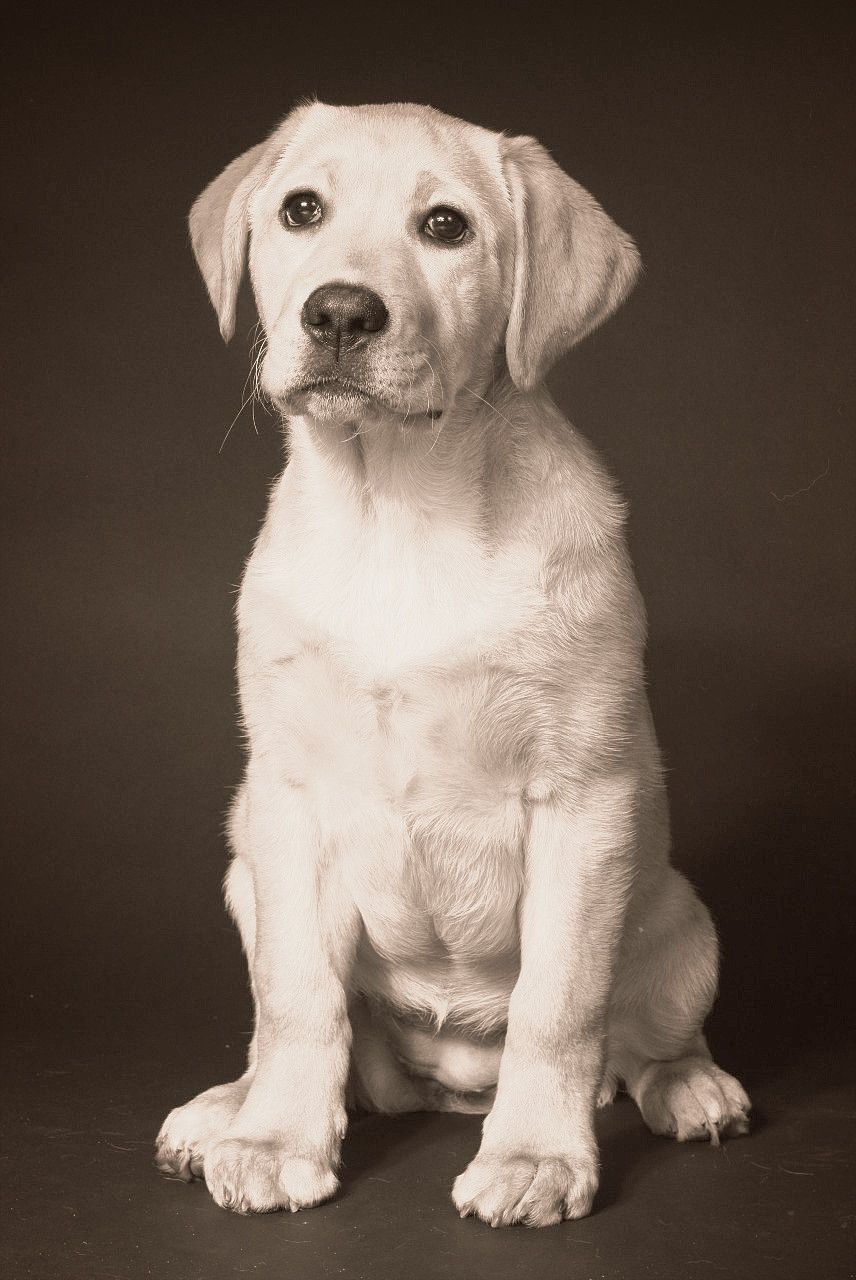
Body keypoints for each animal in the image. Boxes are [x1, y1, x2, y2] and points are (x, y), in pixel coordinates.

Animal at [155, 102, 747, 1228]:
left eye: (445, 226)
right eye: (301, 210)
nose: (341, 313)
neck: (397, 508)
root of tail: (446, 1079)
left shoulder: (582, 799)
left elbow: (559, 1005)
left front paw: (535, 1157)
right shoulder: (286, 799)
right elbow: (296, 997)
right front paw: (275, 1138)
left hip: (680, 925)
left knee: (636, 1041)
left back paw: (686, 1086)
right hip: (242, 867)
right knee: (314, 1031)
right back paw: (229, 1105)